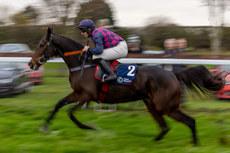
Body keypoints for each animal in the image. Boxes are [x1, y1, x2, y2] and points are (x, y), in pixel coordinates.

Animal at [28, 27, 225, 145]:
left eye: (42, 44)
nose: (31, 64)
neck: (82, 63)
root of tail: (173, 74)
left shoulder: (87, 96)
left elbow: (70, 113)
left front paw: (90, 127)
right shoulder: (77, 93)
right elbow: (58, 105)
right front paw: (44, 127)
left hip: (166, 106)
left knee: (190, 121)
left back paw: (194, 144)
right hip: (152, 105)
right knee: (165, 127)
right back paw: (153, 142)